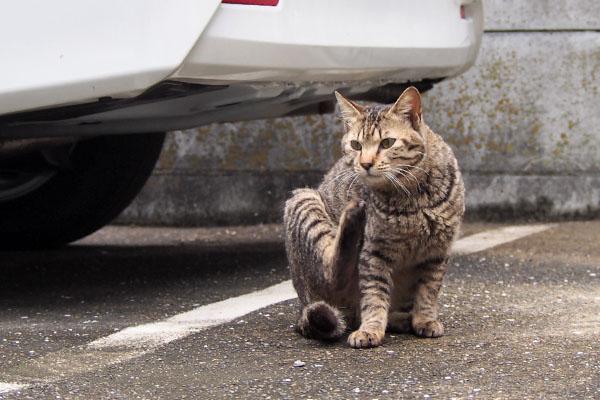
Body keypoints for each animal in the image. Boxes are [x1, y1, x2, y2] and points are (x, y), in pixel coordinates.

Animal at [284, 86, 466, 346]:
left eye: (387, 143)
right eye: (356, 145)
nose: (365, 163)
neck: (413, 196)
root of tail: (302, 306)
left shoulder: (437, 253)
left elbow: (428, 292)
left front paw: (425, 319)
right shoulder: (374, 253)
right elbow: (374, 297)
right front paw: (371, 330)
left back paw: (402, 319)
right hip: (303, 200)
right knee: (334, 276)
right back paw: (352, 216)